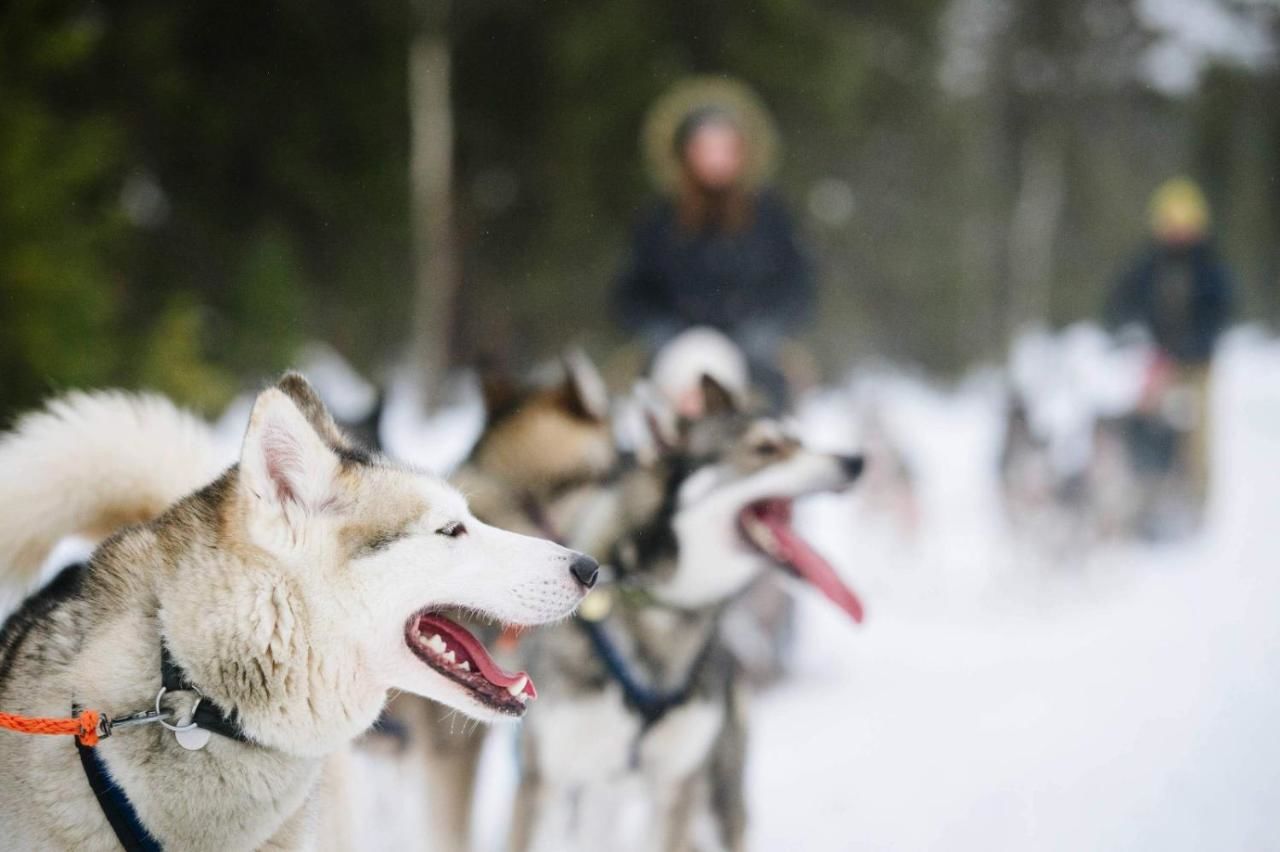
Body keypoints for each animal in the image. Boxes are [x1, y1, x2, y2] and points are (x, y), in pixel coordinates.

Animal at [509, 378, 860, 849]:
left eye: (799, 440)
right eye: (765, 447)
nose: (855, 461)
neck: (658, 607)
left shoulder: (678, 788)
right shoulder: (542, 784)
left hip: (716, 797)